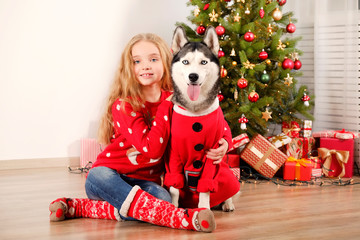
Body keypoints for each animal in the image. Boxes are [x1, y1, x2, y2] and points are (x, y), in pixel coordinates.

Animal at [165, 26, 240, 212]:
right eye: (185, 62)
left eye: (204, 62)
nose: (193, 76)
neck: (195, 111)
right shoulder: (174, 154)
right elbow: (174, 187)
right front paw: (173, 206)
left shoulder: (212, 153)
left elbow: (205, 186)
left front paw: (204, 209)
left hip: (226, 172)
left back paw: (227, 203)